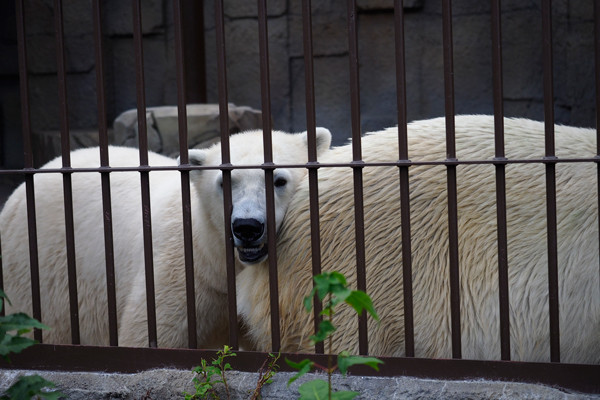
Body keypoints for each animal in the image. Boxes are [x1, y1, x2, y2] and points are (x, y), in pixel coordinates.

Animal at [0, 126, 330, 348]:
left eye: (279, 179)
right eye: (224, 182)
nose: (247, 226)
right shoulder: (185, 271)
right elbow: (151, 332)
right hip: (41, 270)